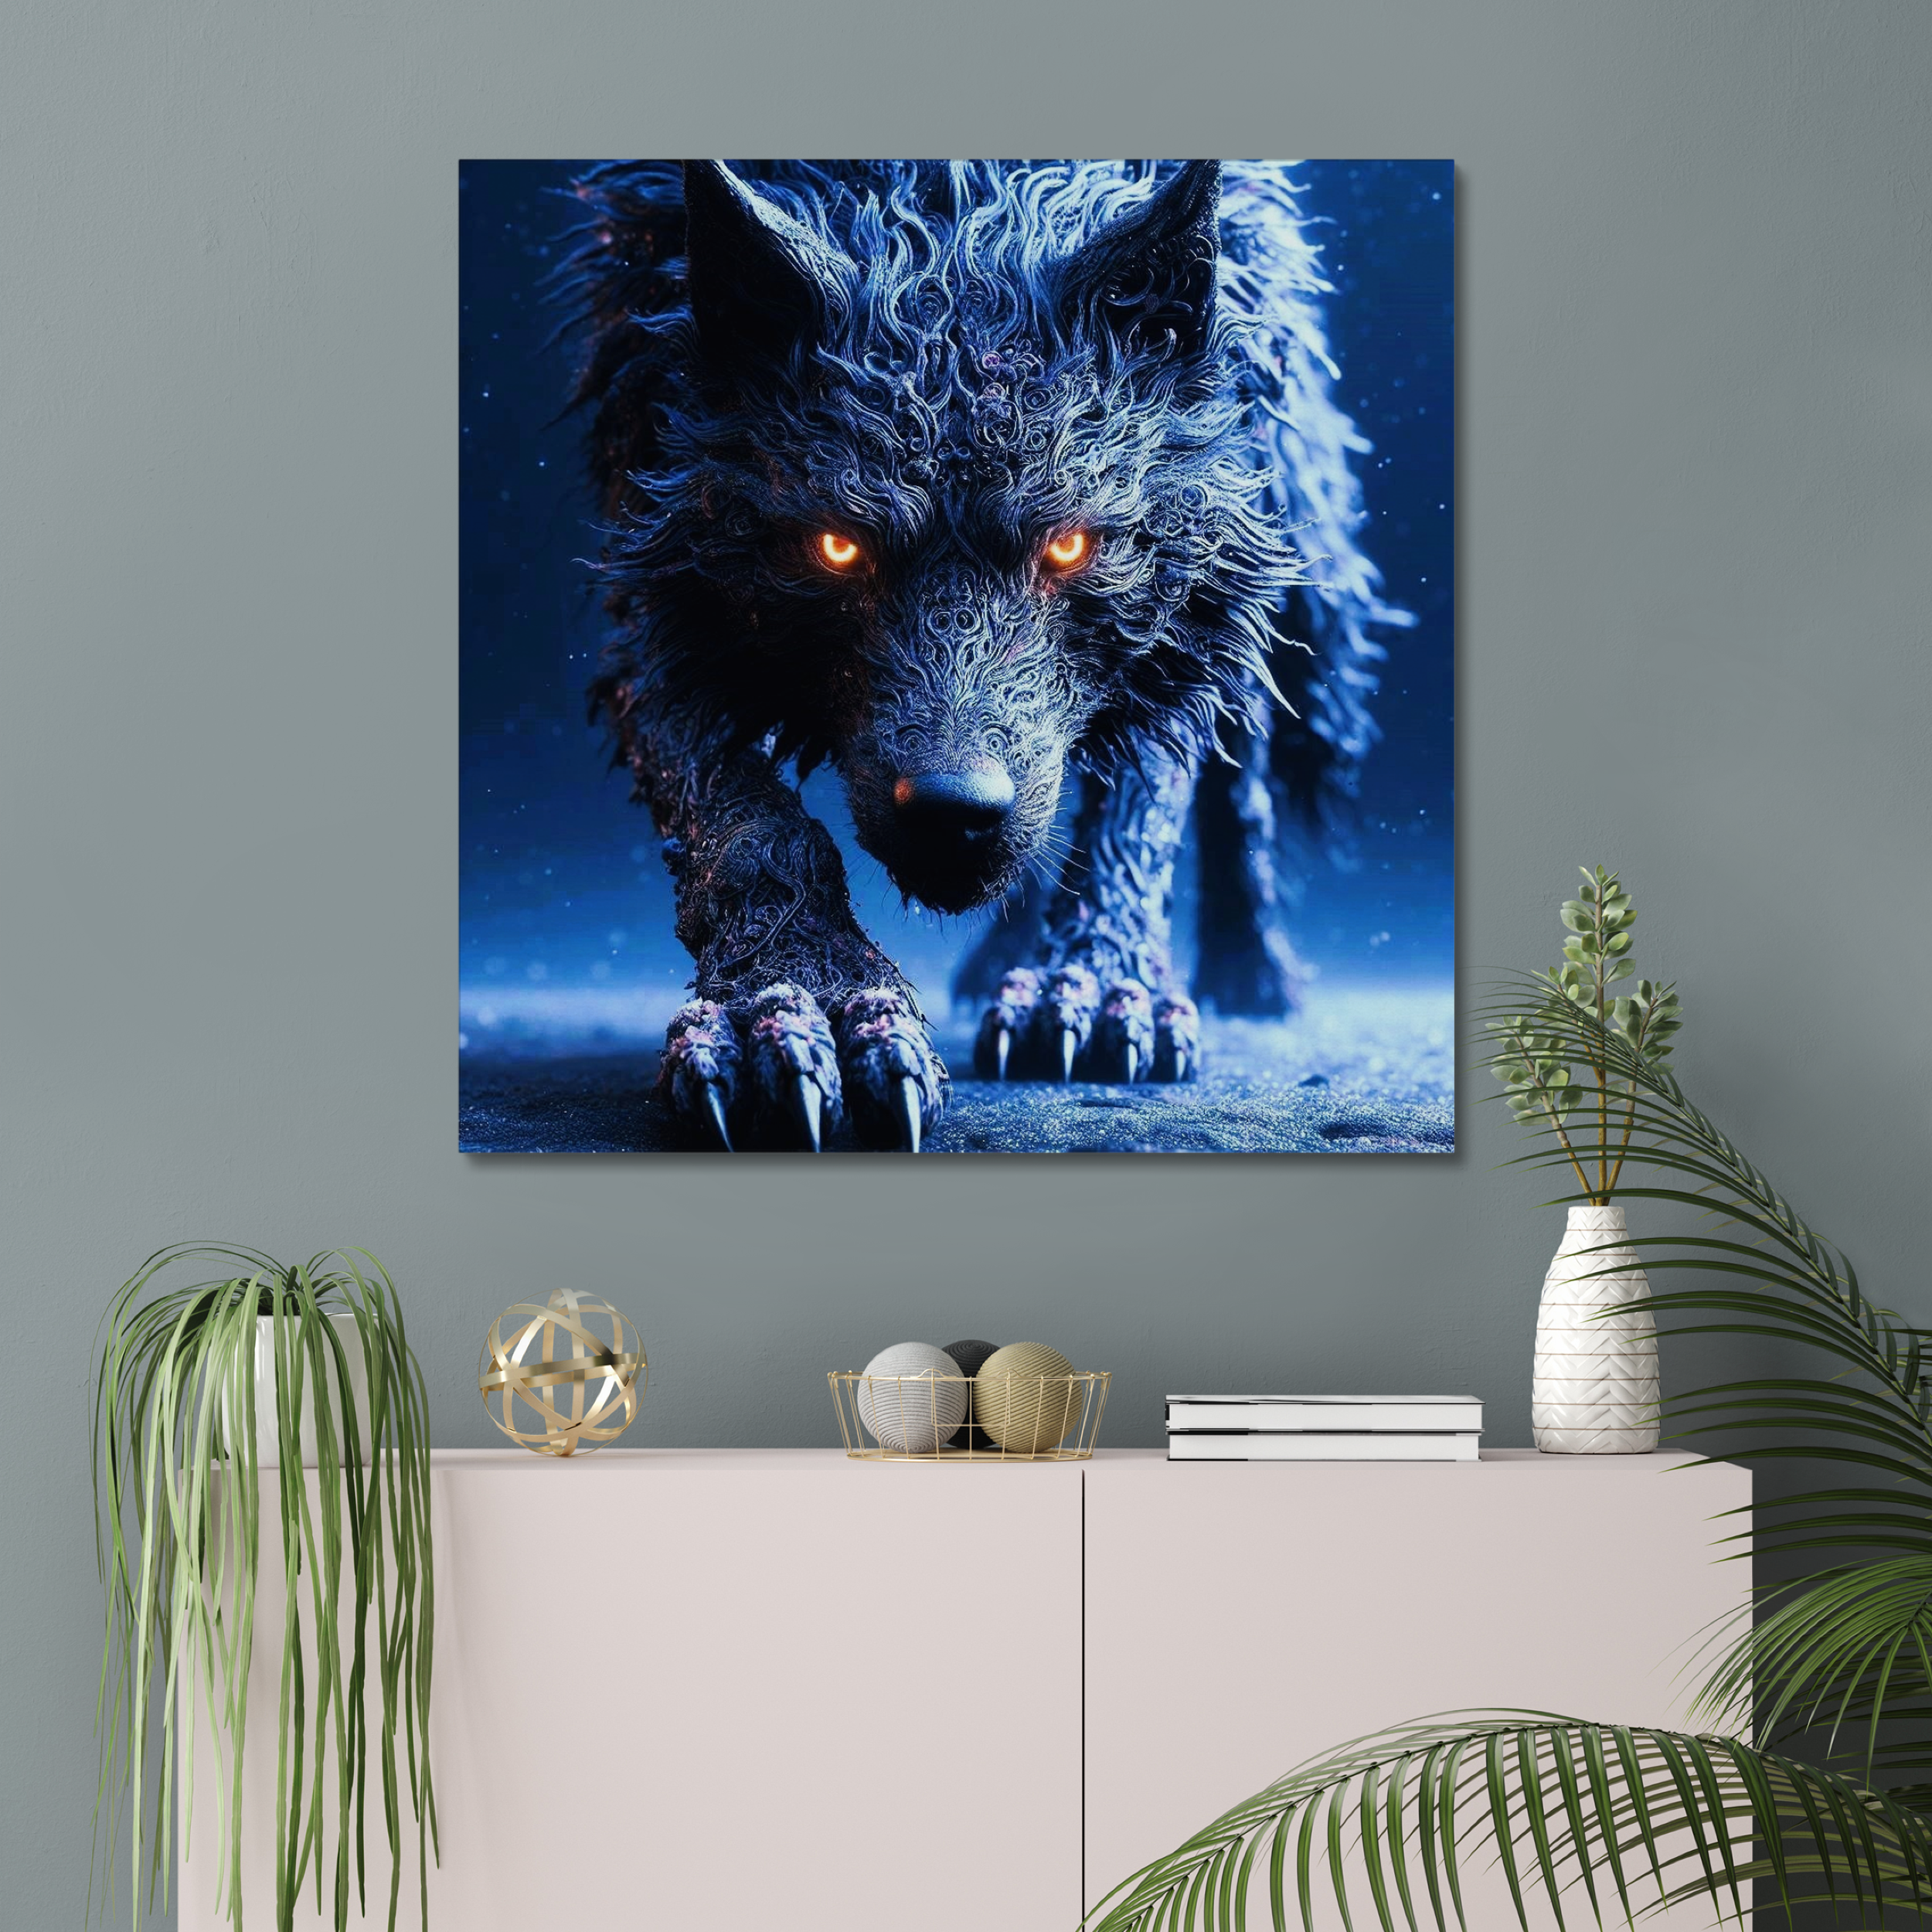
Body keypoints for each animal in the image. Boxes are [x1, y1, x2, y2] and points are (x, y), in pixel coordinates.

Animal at [561, 160, 1402, 1151]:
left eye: (1071, 545)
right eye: (837, 547)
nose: (952, 809)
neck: (951, 209)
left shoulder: (1192, 598)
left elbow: (1142, 798)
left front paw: (1095, 986)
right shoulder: (658, 576)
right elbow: (748, 826)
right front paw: (800, 1003)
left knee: (1242, 777)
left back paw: (1247, 971)